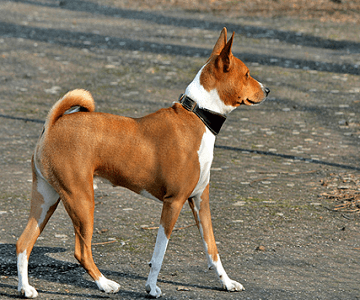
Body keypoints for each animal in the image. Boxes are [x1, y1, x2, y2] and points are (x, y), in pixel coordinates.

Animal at [16, 27, 270, 298]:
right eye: (247, 74)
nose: (267, 90)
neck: (198, 117)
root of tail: (54, 124)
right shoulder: (174, 202)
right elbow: (159, 254)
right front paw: (151, 287)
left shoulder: (200, 200)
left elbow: (212, 248)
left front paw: (227, 282)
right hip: (81, 200)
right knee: (81, 250)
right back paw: (105, 284)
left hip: (47, 199)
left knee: (23, 243)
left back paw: (25, 288)